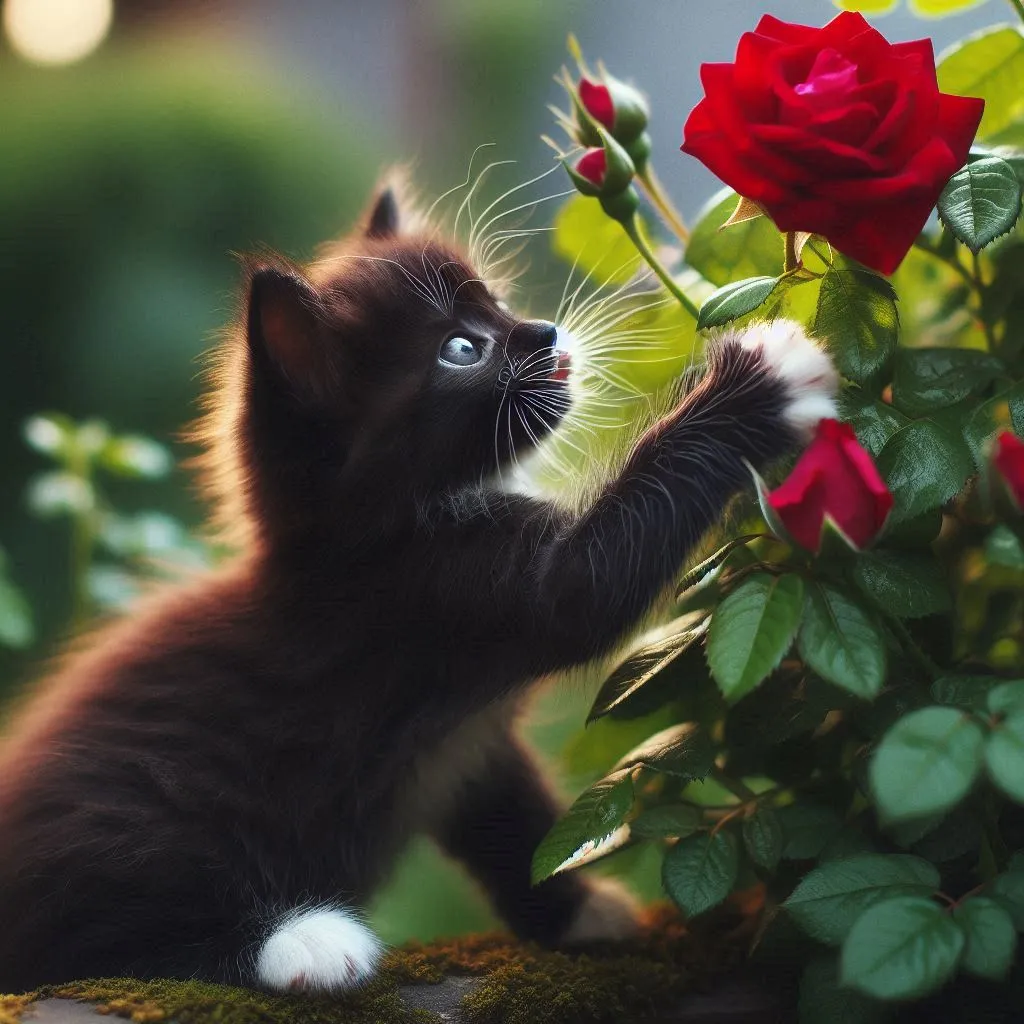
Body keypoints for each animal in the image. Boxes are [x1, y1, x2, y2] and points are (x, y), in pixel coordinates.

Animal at [0, 180, 835, 987]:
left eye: (496, 300)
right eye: (462, 348)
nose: (544, 332)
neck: (380, 533)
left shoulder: (467, 745)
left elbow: (513, 821)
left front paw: (574, 910)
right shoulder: (444, 595)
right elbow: (593, 585)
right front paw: (761, 380)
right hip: (120, 819)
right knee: (96, 933)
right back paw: (299, 942)